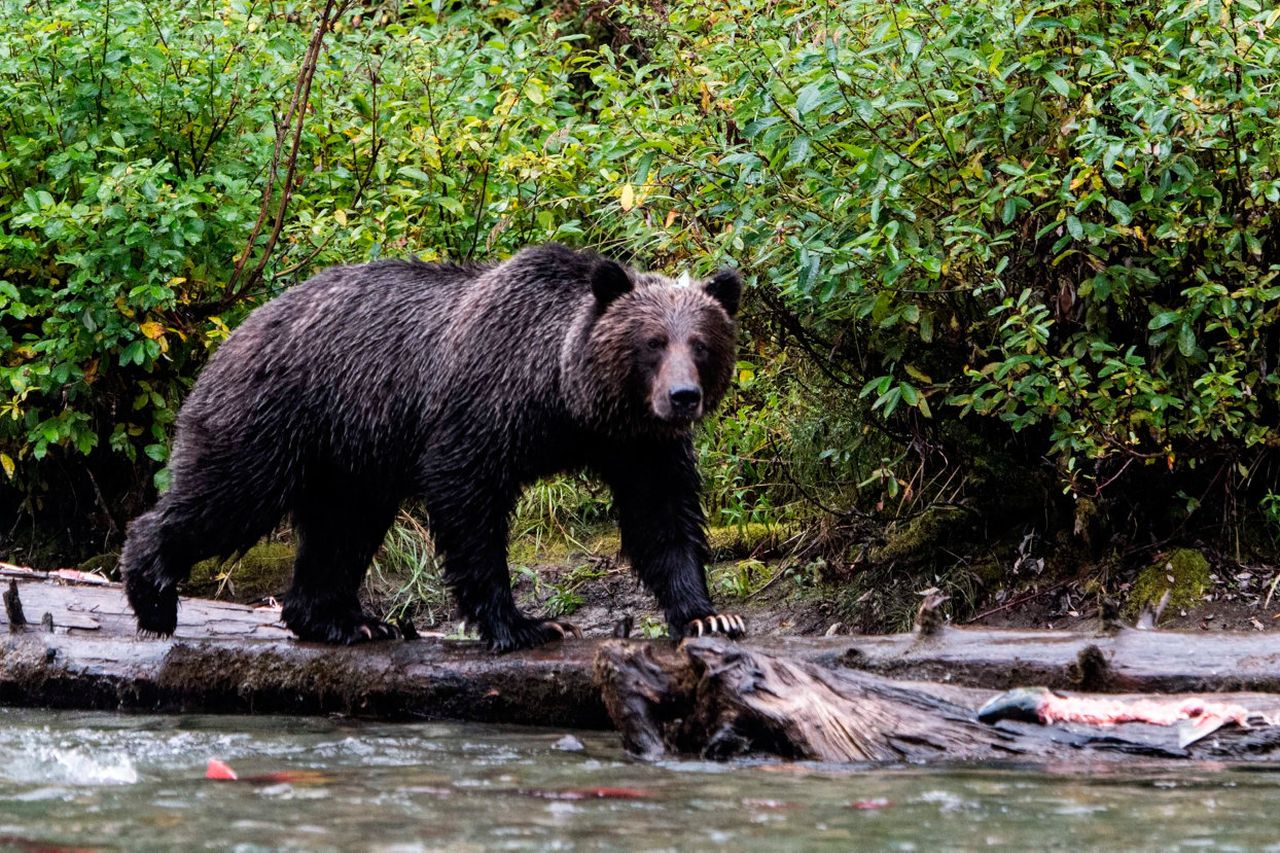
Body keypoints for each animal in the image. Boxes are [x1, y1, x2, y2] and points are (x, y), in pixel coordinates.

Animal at [124, 242, 747, 648]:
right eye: (652, 342)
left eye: (701, 342)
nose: (683, 397)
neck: (566, 398)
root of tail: (236, 330)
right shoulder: (485, 404)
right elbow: (468, 499)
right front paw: (525, 624)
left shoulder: (637, 443)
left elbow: (662, 516)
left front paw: (708, 617)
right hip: (277, 416)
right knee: (229, 496)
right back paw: (153, 595)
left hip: (349, 456)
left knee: (342, 528)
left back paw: (347, 621)